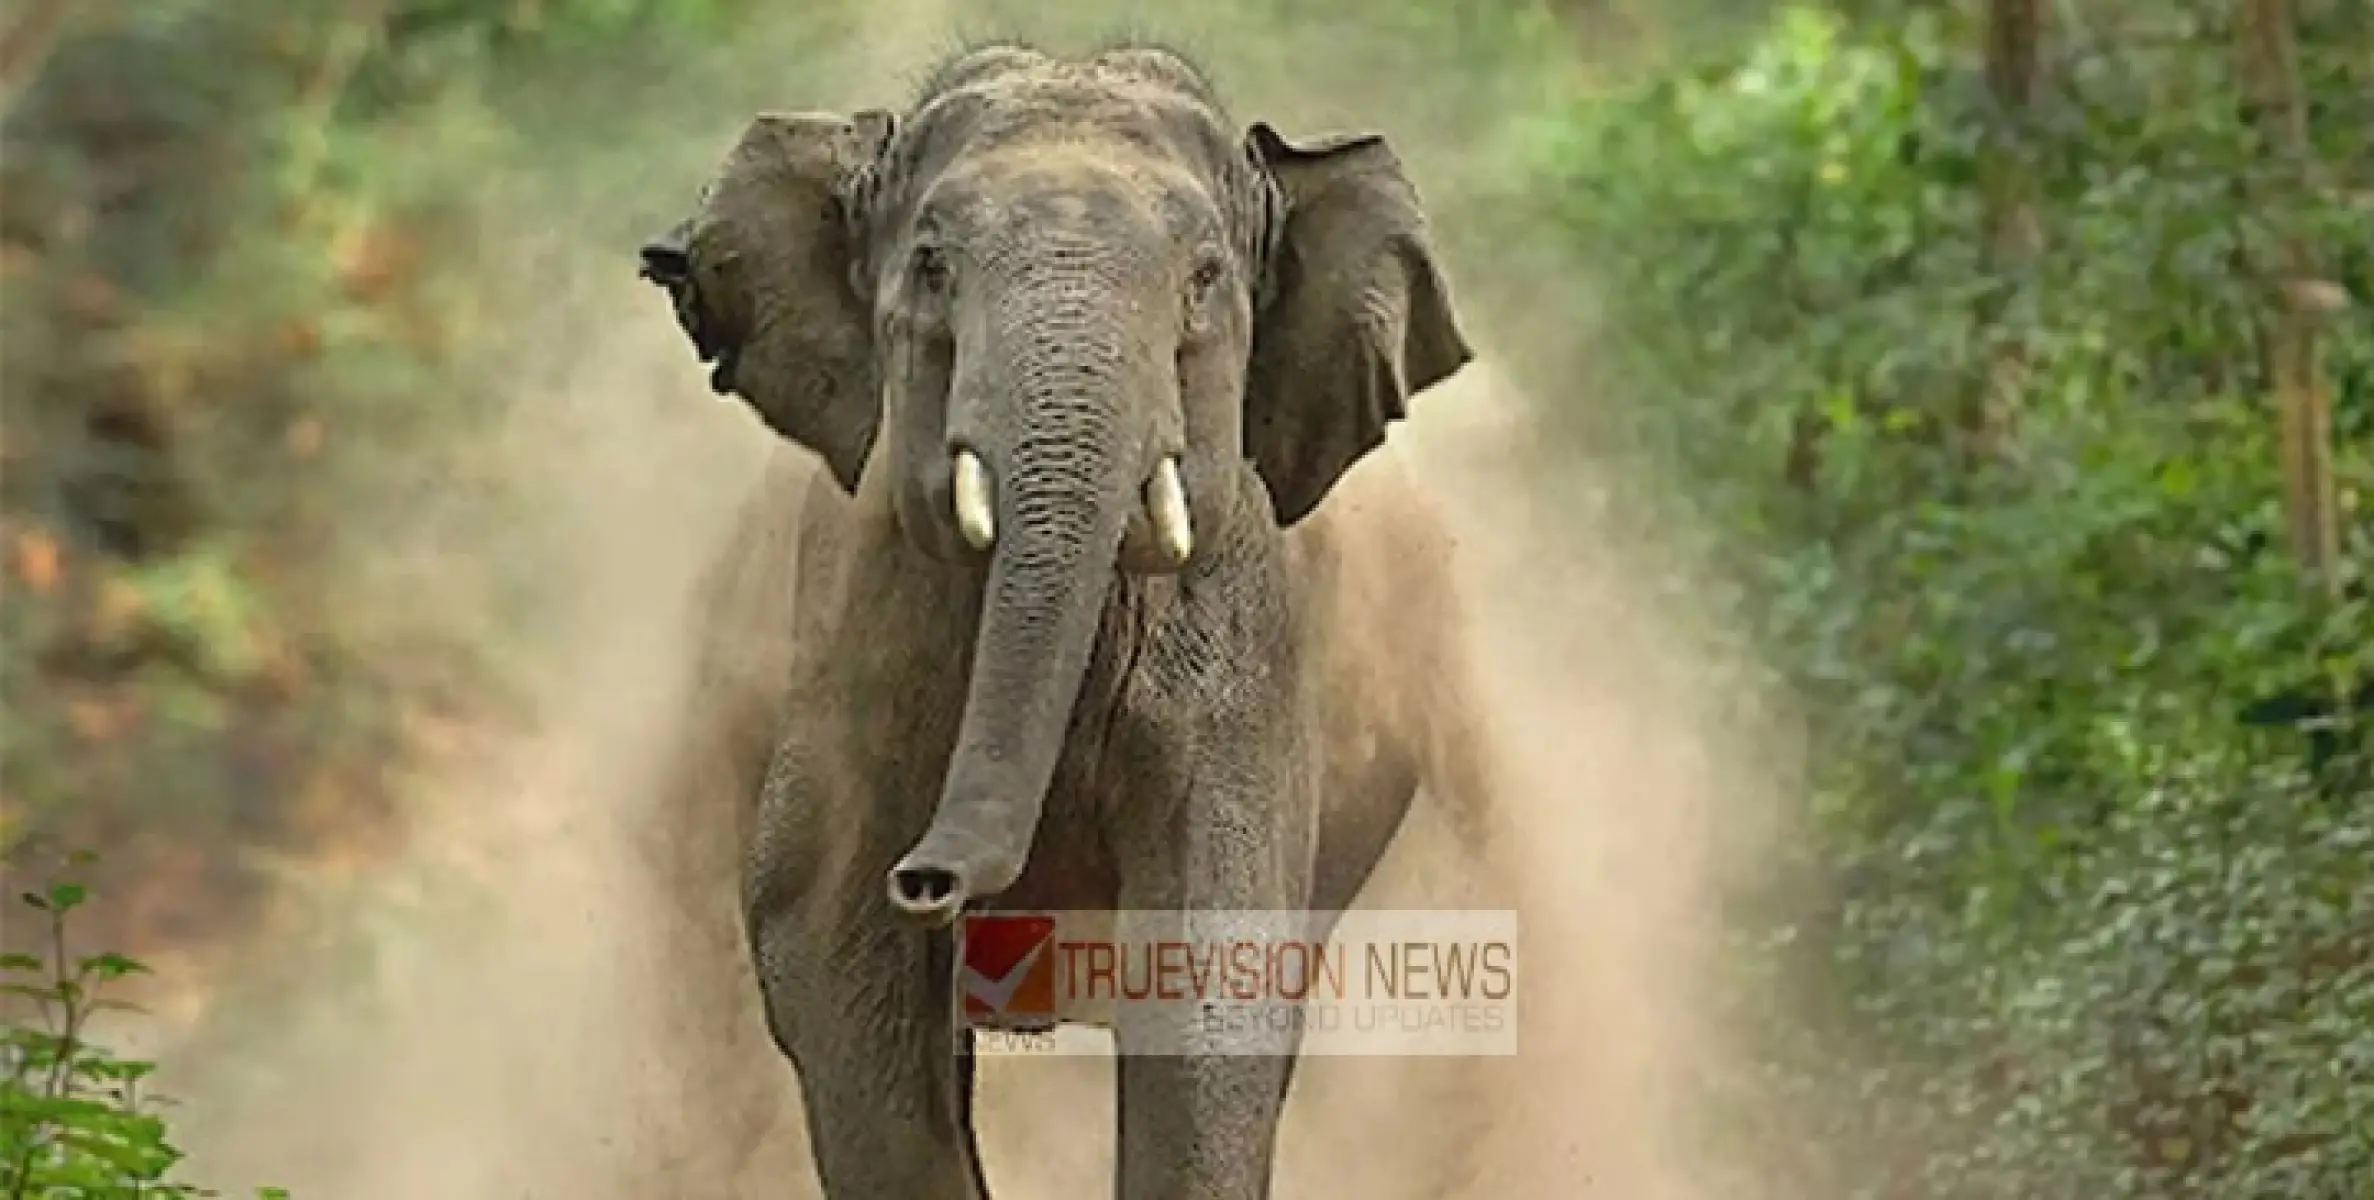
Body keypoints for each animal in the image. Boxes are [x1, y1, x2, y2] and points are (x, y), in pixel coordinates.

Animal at [636, 39, 1500, 1197]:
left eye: (1205, 279)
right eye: (931, 267)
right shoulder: (857, 621)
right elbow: (829, 946)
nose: (931, 877)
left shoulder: (1243, 639)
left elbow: (1211, 974)